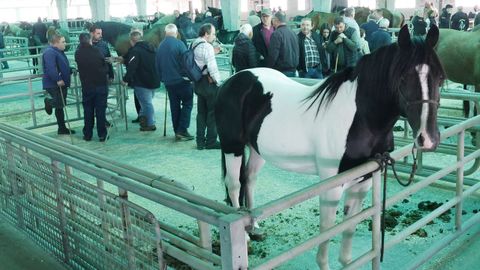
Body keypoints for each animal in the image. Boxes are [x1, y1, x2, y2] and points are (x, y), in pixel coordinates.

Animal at [216, 24, 444, 268]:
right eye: (402, 78)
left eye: (440, 77)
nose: (428, 138)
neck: (360, 118)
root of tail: (234, 80)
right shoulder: (331, 184)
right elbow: (328, 230)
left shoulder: (363, 180)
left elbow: (349, 227)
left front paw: (347, 261)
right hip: (232, 147)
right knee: (233, 185)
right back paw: (246, 236)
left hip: (257, 149)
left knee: (249, 179)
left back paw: (255, 228)